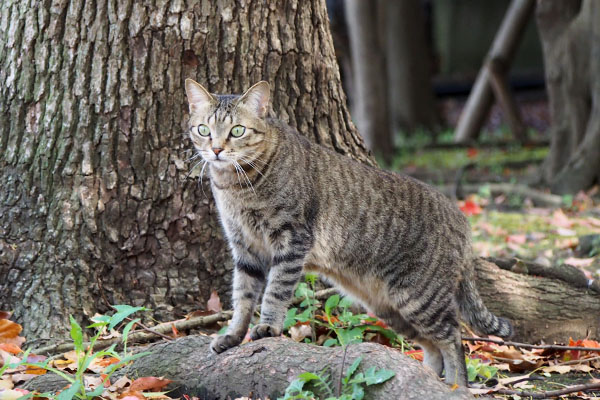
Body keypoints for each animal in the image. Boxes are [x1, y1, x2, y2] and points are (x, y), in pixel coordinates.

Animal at [183, 79, 510, 386]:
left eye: (237, 131)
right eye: (203, 129)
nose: (216, 150)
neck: (234, 185)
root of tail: (461, 217)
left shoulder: (291, 239)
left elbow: (275, 291)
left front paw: (268, 327)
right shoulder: (243, 247)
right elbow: (242, 297)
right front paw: (233, 336)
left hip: (419, 297)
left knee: (453, 339)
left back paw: (456, 387)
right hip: (389, 308)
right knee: (432, 347)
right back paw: (428, 379)